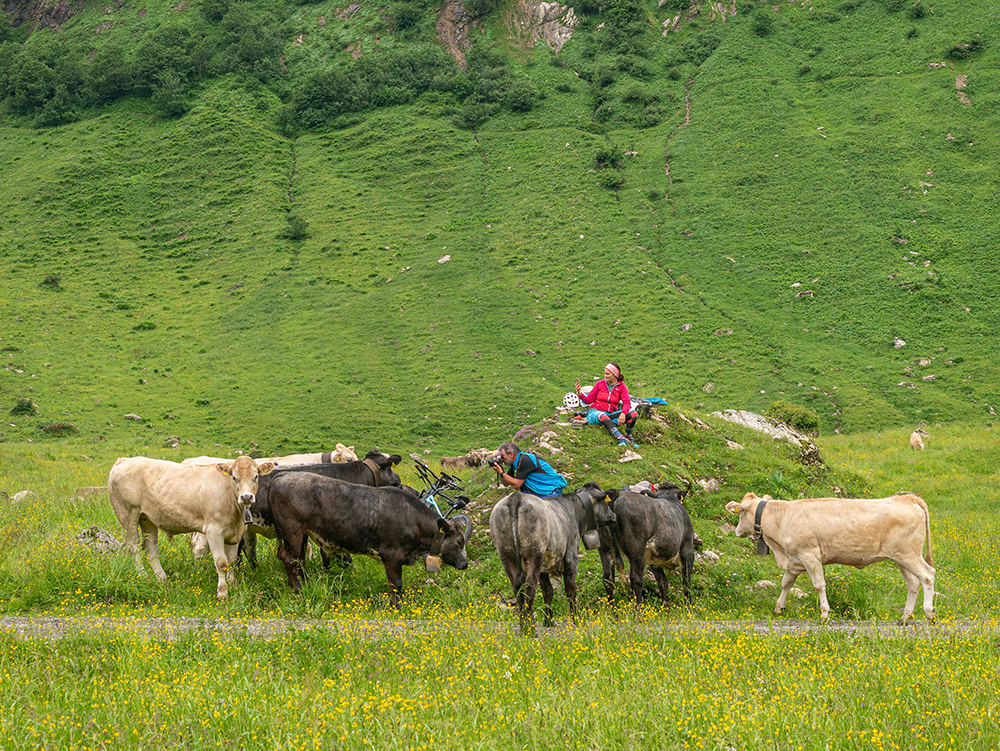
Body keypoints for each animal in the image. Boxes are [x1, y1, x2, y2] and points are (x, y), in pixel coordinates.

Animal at [106, 452, 274, 600]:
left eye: (256, 476)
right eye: (234, 477)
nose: (246, 497)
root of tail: (124, 460)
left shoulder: (234, 534)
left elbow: (231, 561)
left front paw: (233, 585)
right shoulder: (213, 531)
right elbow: (221, 563)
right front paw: (222, 593)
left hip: (147, 518)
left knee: (150, 548)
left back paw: (161, 578)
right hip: (127, 514)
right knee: (133, 548)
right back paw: (143, 576)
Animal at [250, 470, 468, 604]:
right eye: (459, 541)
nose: (465, 564)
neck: (412, 519)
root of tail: (283, 476)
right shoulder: (392, 555)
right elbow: (396, 584)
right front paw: (397, 606)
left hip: (301, 535)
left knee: (299, 560)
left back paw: (305, 585)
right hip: (292, 532)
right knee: (290, 559)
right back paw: (298, 589)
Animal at [490, 482, 620, 636]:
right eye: (605, 502)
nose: (613, 515)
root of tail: (515, 497)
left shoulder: (544, 569)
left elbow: (548, 591)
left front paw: (549, 622)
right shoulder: (571, 559)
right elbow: (570, 590)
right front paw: (576, 619)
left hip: (507, 555)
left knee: (518, 588)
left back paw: (523, 627)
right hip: (533, 555)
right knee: (529, 588)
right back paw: (531, 629)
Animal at [724, 490, 932, 620]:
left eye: (740, 513)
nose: (736, 531)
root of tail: (908, 499)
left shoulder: (810, 556)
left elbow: (819, 585)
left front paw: (824, 612)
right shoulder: (794, 560)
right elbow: (786, 583)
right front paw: (778, 608)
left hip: (909, 555)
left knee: (928, 576)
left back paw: (929, 613)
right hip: (901, 558)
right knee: (913, 584)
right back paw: (905, 617)